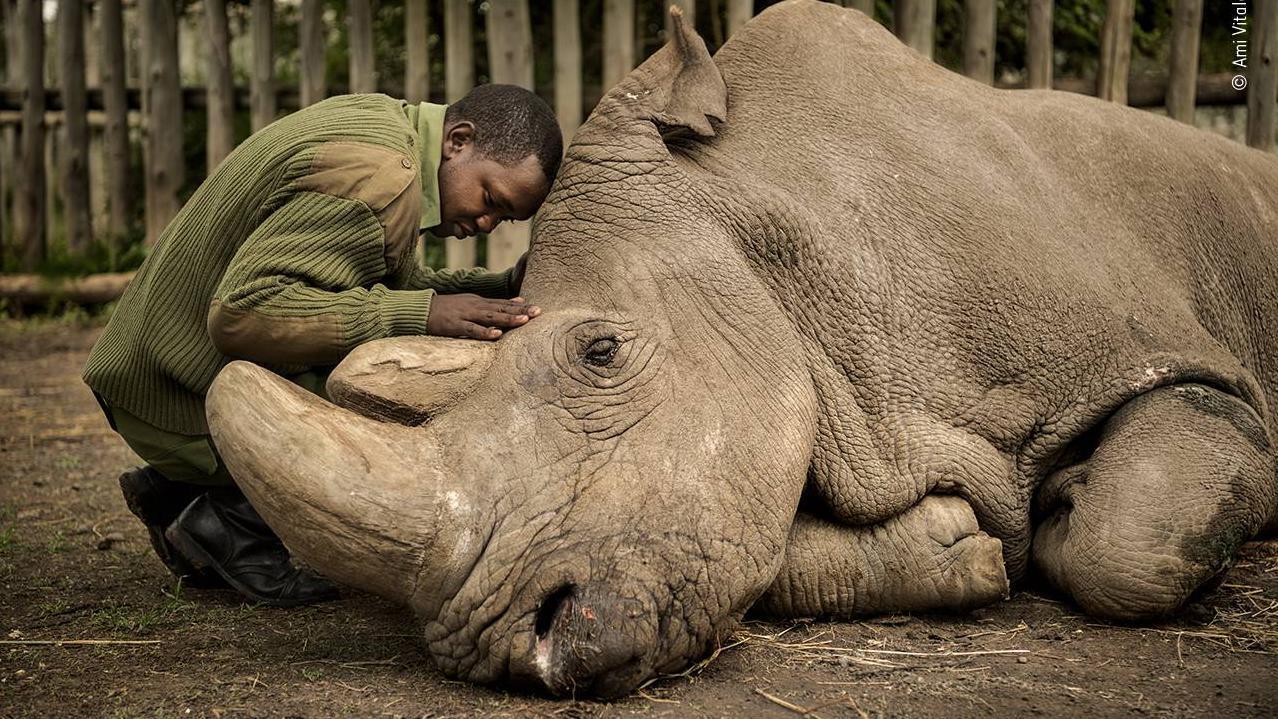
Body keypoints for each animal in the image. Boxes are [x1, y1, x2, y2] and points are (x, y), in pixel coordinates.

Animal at [204, 0, 1278, 698]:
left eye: (601, 352)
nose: (515, 647)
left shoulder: (1170, 360)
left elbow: (1129, 539)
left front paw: (1065, 511)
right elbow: (759, 548)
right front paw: (960, 547)